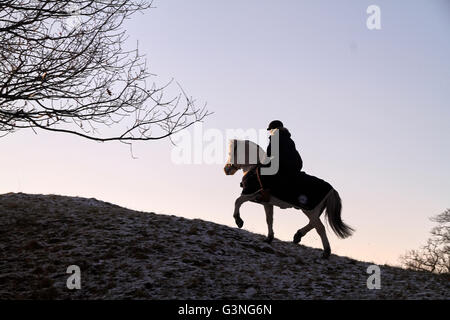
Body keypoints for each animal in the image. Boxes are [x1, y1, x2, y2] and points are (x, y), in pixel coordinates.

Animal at [223, 139, 354, 258]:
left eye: (231, 153)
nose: (226, 169)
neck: (253, 169)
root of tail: (331, 189)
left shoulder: (252, 194)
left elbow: (238, 201)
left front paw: (239, 221)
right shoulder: (267, 203)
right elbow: (269, 219)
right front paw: (269, 238)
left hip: (309, 210)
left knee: (320, 228)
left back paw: (326, 252)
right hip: (313, 211)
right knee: (313, 224)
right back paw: (298, 236)